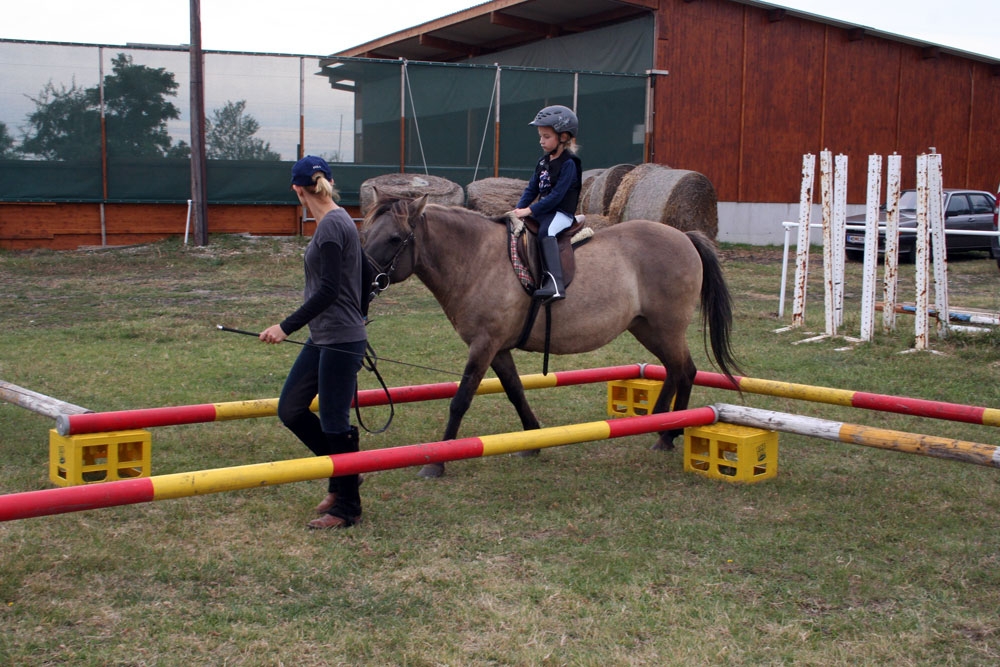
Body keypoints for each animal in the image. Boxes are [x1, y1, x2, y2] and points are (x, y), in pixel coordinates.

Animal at [362, 194, 744, 480]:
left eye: (394, 238)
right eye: (366, 233)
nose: (363, 283)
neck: (477, 260)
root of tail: (684, 236)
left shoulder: (484, 345)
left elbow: (461, 399)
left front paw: (437, 462)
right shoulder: (497, 349)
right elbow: (515, 391)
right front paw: (533, 440)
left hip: (666, 328)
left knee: (684, 370)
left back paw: (668, 433)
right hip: (647, 327)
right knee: (677, 370)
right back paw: (664, 426)